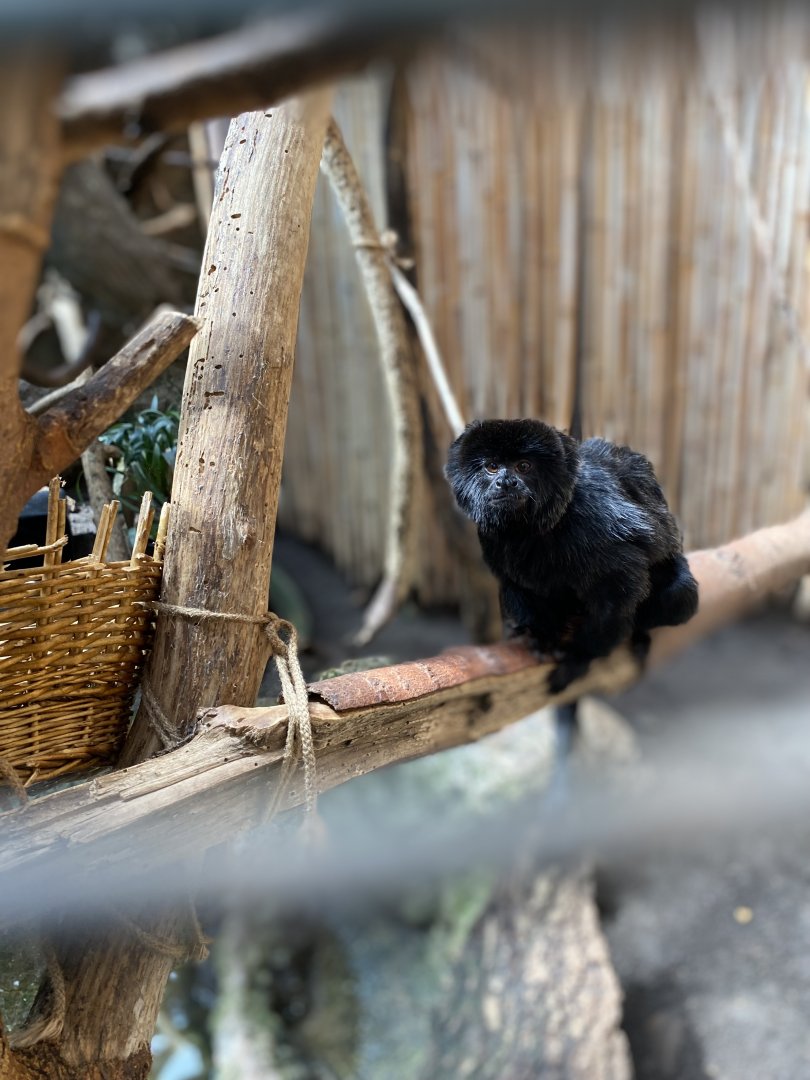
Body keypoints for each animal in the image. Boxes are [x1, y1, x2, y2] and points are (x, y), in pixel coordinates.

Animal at [445, 419, 698, 693]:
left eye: (523, 466)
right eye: (492, 467)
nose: (506, 482)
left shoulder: (594, 521)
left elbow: (618, 594)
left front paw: (579, 656)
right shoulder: (491, 539)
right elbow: (516, 584)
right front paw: (542, 635)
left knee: (680, 593)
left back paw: (640, 633)